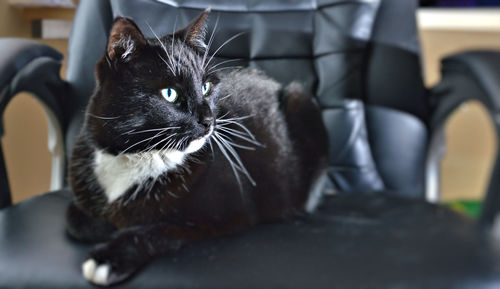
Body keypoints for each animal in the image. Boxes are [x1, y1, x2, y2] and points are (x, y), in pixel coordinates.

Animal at [67, 9, 328, 286]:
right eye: (169, 93)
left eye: (206, 87)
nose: (209, 120)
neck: (137, 153)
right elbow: (75, 218)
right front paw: (107, 224)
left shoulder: (225, 214)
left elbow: (157, 229)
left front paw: (107, 258)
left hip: (300, 99)